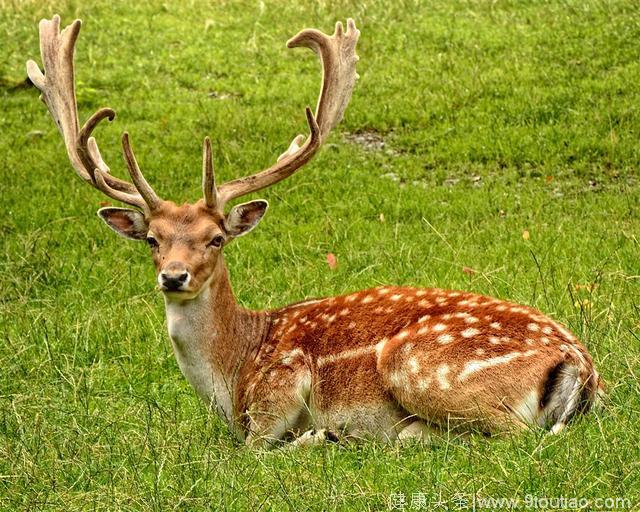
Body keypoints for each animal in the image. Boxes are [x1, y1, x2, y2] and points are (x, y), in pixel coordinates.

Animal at [27, 16, 604, 446]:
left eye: (216, 238)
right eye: (153, 239)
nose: (173, 276)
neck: (234, 373)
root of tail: (580, 364)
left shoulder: (279, 390)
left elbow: (256, 448)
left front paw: (316, 436)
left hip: (419, 365)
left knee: (511, 435)